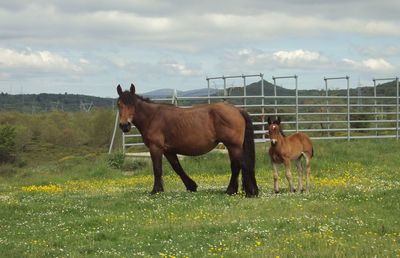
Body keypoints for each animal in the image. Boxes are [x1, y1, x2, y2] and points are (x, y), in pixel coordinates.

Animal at [115, 83, 260, 197]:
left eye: (132, 104)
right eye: (119, 104)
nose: (124, 125)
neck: (153, 117)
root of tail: (237, 110)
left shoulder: (155, 148)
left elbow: (157, 169)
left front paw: (156, 191)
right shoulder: (168, 150)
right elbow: (177, 168)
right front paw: (191, 186)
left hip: (233, 145)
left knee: (238, 166)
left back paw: (234, 191)